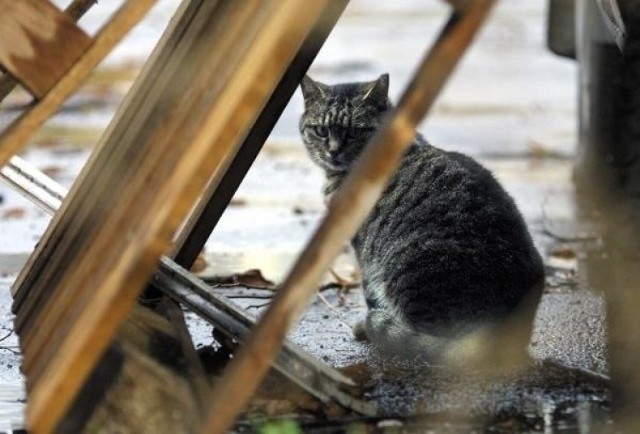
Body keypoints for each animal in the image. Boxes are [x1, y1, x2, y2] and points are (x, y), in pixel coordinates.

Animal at [300, 73, 544, 362]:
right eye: (321, 130)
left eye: (355, 131)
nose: (334, 151)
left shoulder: (364, 250)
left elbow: (369, 290)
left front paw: (367, 326)